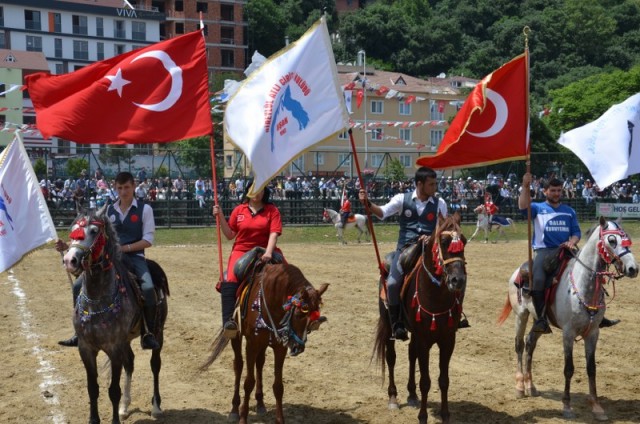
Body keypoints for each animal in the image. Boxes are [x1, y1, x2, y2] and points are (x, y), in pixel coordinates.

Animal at [60, 205, 168, 420]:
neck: (98, 300)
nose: (69, 260)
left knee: (155, 365)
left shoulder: (114, 348)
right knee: (131, 363)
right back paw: (125, 407)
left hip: (158, 333)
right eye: (73, 229)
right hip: (127, 339)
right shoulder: (86, 348)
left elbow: (113, 391)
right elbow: (93, 389)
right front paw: (95, 419)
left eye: (94, 231)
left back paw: (156, 407)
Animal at [202, 264, 328, 422]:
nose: (297, 347)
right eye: (299, 314)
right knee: (238, 365)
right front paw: (243, 419)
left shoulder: (280, 348)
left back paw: (260, 403)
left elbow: (278, 386)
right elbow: (248, 382)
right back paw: (235, 409)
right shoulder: (251, 345)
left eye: (313, 320)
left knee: (260, 363)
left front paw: (280, 420)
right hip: (236, 336)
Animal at [372, 214, 468, 422]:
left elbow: (443, 380)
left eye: (464, 241)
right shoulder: (424, 340)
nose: (458, 280)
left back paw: (412, 394)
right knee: (391, 358)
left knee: (410, 354)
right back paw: (393, 397)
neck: (435, 295)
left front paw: (445, 414)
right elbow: (425, 381)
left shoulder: (448, 340)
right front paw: (423, 416)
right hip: (389, 326)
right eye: (444, 241)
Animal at [498, 217, 636, 422]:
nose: (633, 268)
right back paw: (520, 387)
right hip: (520, 316)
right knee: (519, 345)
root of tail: (518, 271)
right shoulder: (568, 334)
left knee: (530, 343)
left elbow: (591, 368)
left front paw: (597, 408)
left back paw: (531, 387)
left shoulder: (593, 333)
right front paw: (567, 406)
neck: (582, 285)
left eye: (627, 238)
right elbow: (568, 369)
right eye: (612, 240)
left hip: (540, 323)